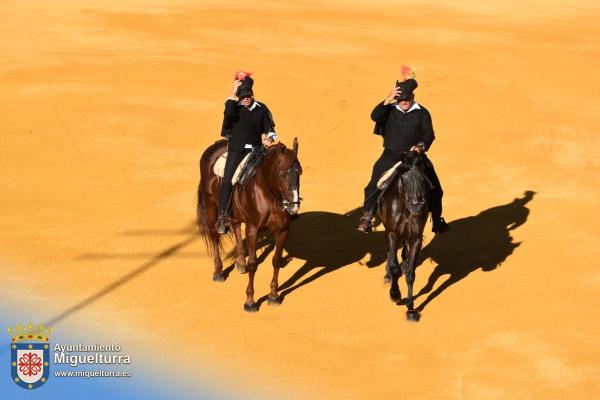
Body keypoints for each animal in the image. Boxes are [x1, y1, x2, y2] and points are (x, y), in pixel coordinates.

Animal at [197, 139, 302, 310]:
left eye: (300, 172)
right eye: (282, 174)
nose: (293, 207)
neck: (269, 194)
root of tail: (213, 147)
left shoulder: (283, 230)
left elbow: (276, 261)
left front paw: (273, 296)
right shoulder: (253, 230)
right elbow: (253, 264)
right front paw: (250, 301)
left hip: (234, 211)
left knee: (236, 226)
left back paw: (240, 263)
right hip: (211, 206)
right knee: (214, 236)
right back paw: (218, 272)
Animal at [380, 150, 432, 322]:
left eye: (423, 178)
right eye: (404, 178)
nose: (416, 206)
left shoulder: (416, 238)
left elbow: (410, 274)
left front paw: (411, 309)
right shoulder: (393, 234)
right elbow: (394, 267)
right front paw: (395, 294)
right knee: (389, 253)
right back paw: (388, 275)